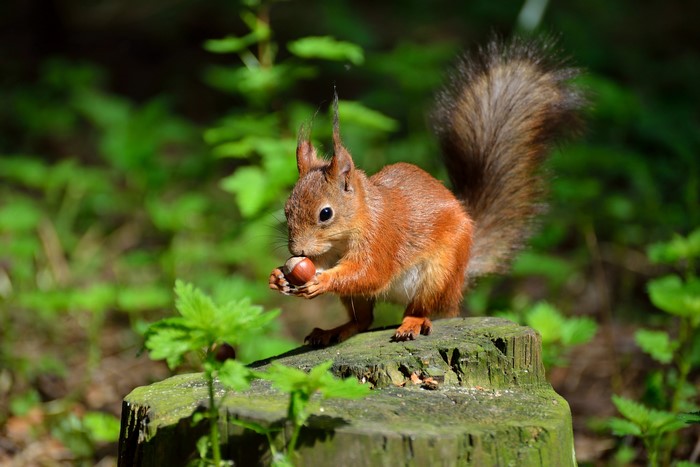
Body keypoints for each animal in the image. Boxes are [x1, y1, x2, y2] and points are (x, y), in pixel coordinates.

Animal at [269, 37, 584, 347]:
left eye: (326, 213)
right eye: (286, 209)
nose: (296, 251)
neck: (352, 227)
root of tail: (461, 276)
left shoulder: (382, 239)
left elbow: (368, 273)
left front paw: (320, 281)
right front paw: (278, 277)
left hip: (438, 274)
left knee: (422, 307)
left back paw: (413, 322)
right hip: (365, 298)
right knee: (363, 320)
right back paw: (335, 330)